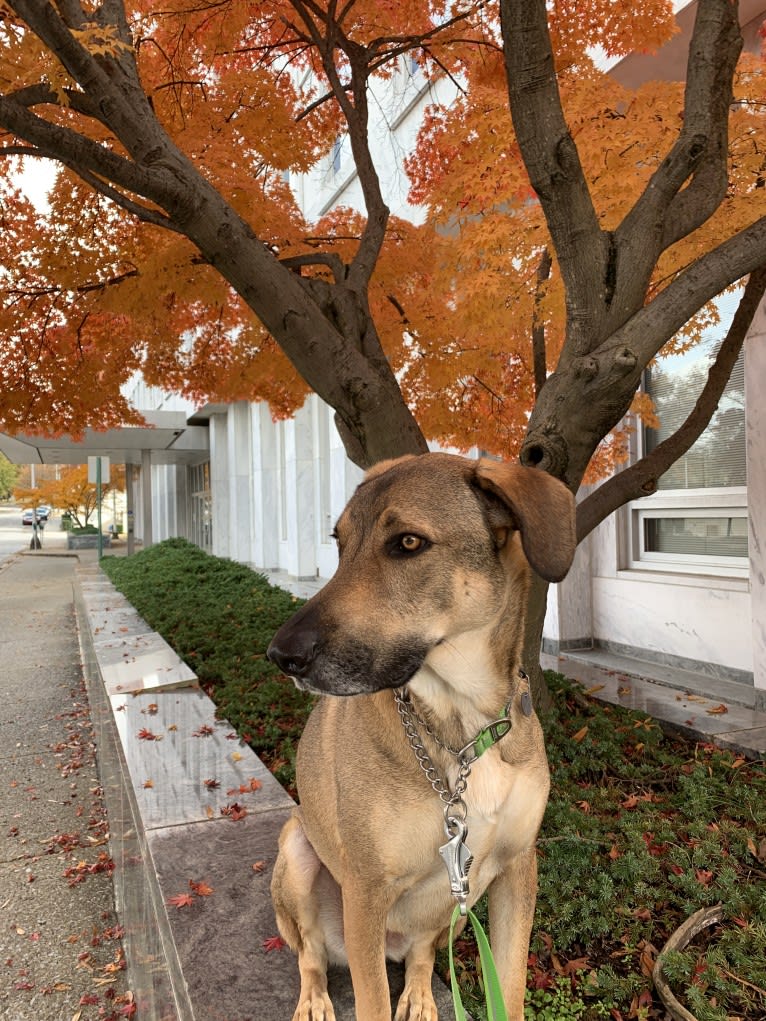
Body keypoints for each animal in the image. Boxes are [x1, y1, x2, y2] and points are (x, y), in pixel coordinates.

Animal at [269, 455, 576, 1021]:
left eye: (408, 543)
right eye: (340, 542)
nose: (282, 656)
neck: (461, 724)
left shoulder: (517, 870)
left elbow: (510, 988)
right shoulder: (366, 893)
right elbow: (368, 1001)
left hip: (455, 908)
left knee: (420, 955)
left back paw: (417, 994)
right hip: (298, 855)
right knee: (310, 955)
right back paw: (315, 999)